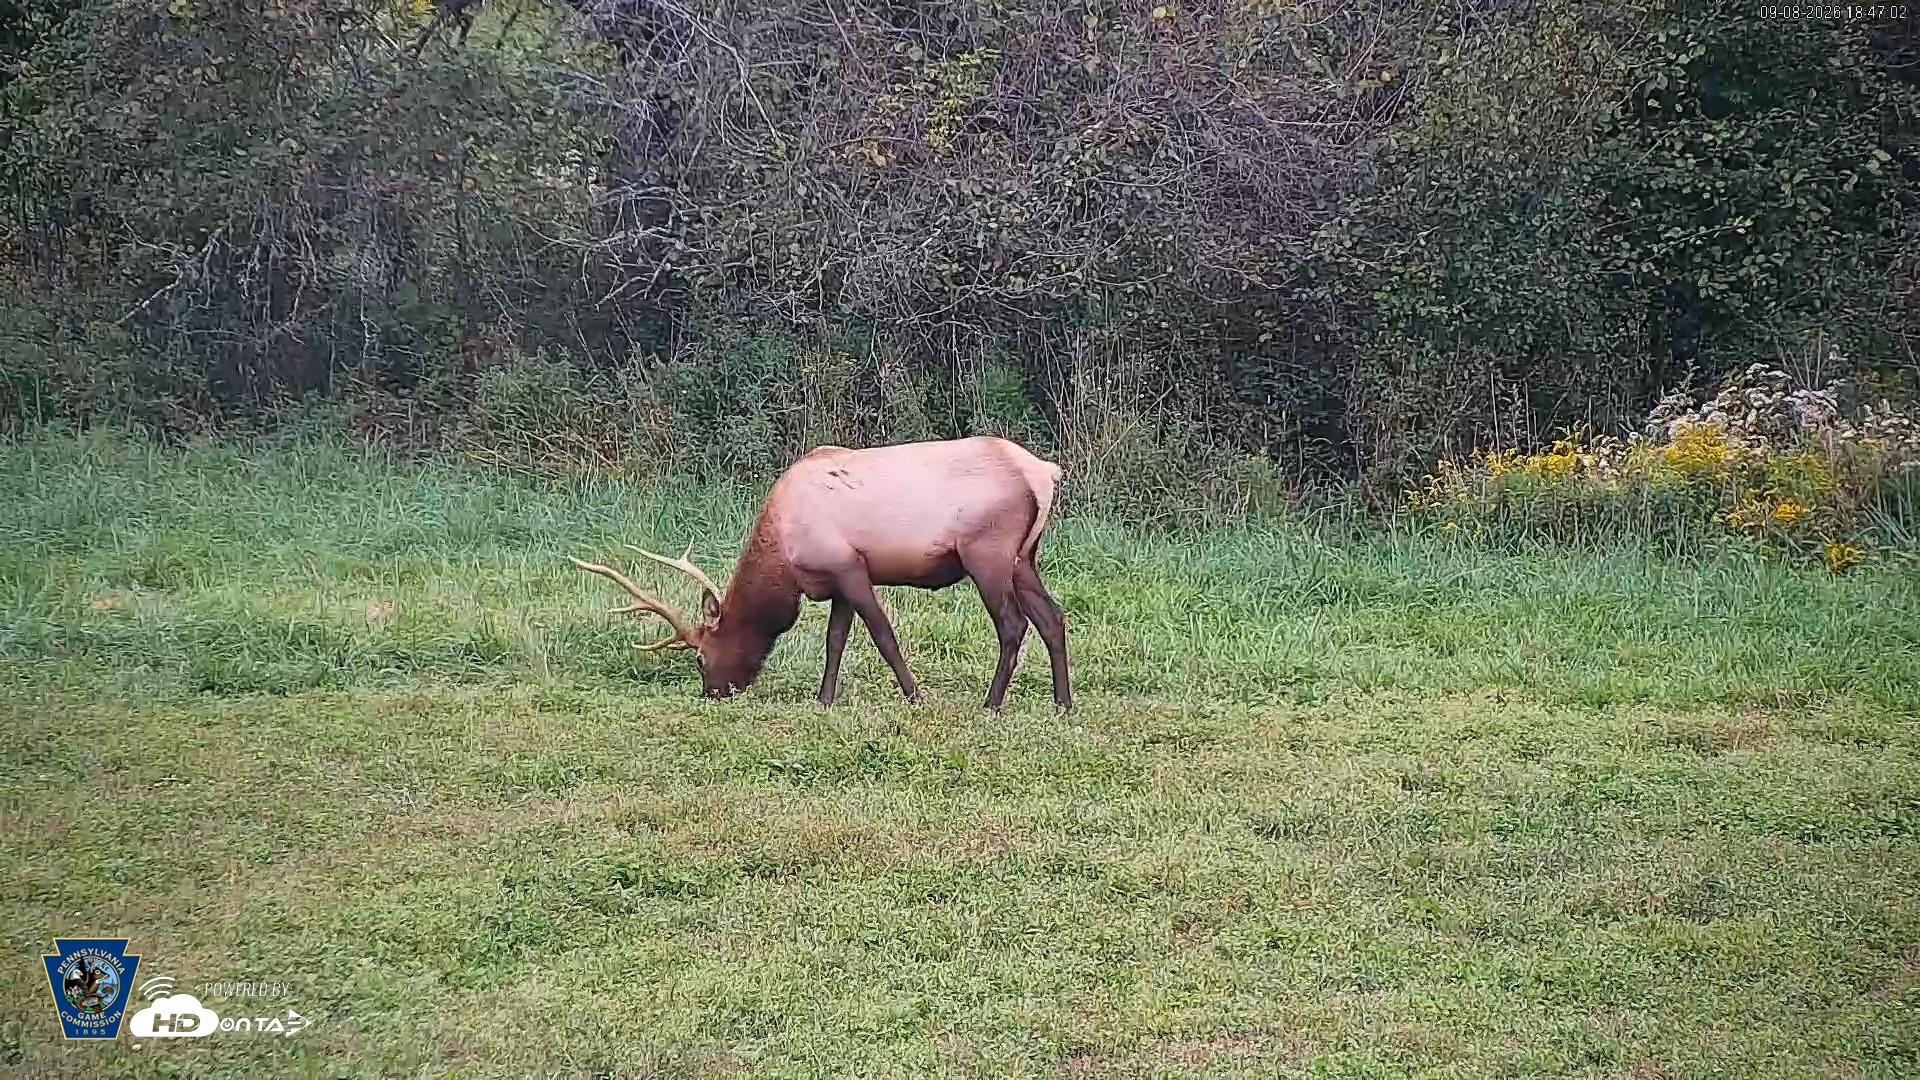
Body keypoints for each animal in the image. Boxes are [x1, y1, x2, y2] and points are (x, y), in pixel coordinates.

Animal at [570, 435, 1072, 711]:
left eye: (699, 657)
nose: (712, 692)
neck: (785, 555)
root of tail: (1044, 473)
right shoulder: (837, 583)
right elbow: (835, 641)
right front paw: (824, 699)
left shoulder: (849, 566)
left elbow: (883, 635)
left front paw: (916, 696)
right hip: (1024, 557)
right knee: (1053, 618)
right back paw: (1063, 704)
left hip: (987, 551)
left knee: (1013, 624)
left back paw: (991, 703)